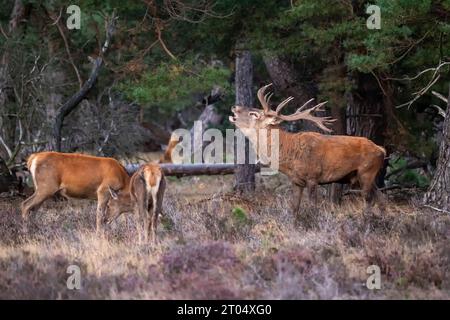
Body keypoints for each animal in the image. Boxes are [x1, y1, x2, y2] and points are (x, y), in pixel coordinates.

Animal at [230, 84, 384, 215]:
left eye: (253, 114)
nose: (234, 106)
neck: (288, 154)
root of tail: (381, 150)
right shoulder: (296, 181)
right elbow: (294, 208)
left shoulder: (313, 177)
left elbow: (313, 208)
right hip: (366, 176)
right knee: (380, 197)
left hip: (367, 172)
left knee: (369, 200)